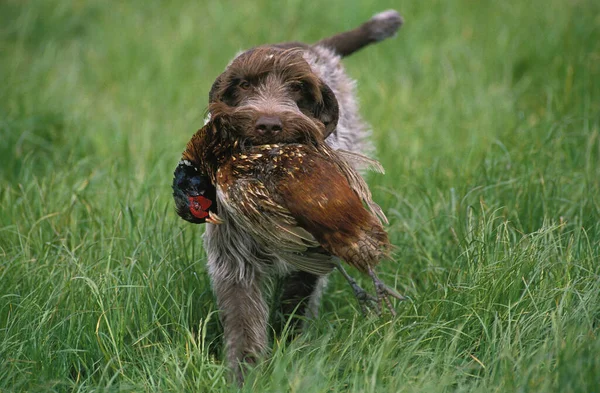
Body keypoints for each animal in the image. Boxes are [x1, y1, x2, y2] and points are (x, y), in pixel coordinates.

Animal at [173, 9, 404, 382]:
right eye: (244, 85)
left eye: (298, 87)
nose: (269, 124)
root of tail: (315, 47)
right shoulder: (234, 258)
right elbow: (243, 316)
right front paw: (245, 372)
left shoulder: (314, 251)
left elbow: (296, 301)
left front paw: (288, 349)